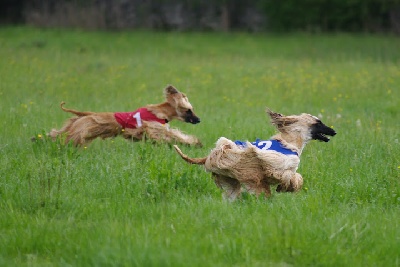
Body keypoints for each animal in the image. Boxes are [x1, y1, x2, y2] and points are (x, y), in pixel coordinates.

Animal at [47, 86, 202, 148]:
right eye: (189, 110)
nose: (199, 119)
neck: (161, 111)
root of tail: (87, 114)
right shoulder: (154, 127)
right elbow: (173, 135)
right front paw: (194, 142)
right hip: (82, 129)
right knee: (68, 137)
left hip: (77, 125)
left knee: (59, 133)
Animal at [173, 109, 336, 201]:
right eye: (318, 122)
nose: (334, 131)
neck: (291, 142)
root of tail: (209, 157)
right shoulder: (275, 164)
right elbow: (292, 176)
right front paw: (285, 186)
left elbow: (294, 176)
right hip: (243, 170)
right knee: (258, 187)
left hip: (230, 179)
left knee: (232, 194)